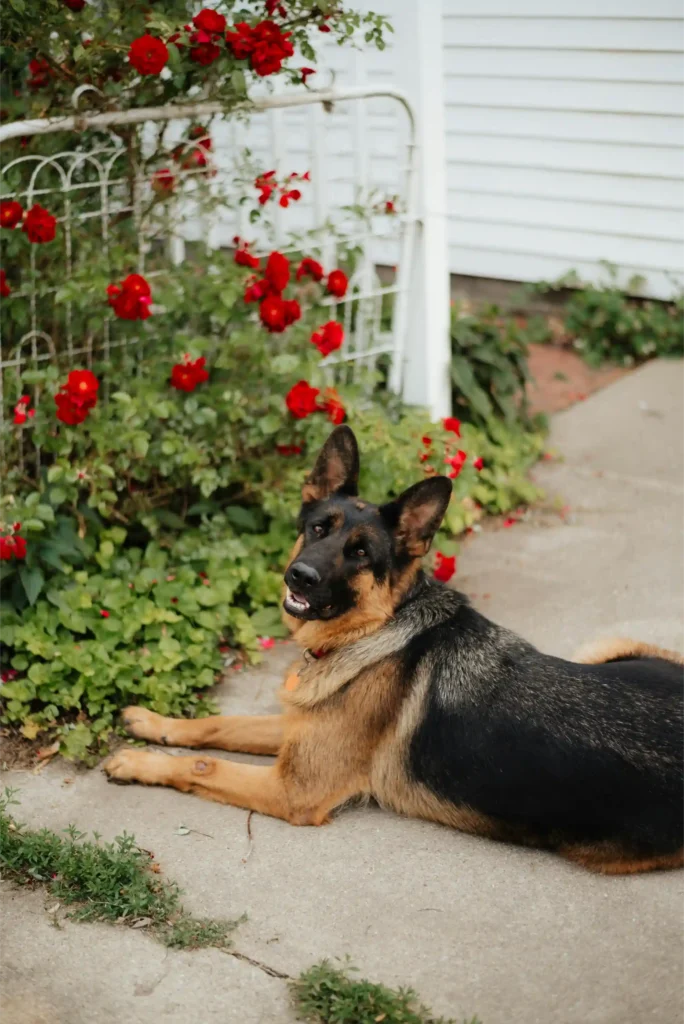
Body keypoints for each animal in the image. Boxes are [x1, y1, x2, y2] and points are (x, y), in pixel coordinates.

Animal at [104, 423, 684, 872]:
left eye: (361, 554)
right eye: (319, 528)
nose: (300, 576)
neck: (374, 633)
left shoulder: (294, 789)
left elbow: (203, 765)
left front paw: (137, 761)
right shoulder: (297, 729)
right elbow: (217, 724)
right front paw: (153, 723)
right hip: (606, 646)